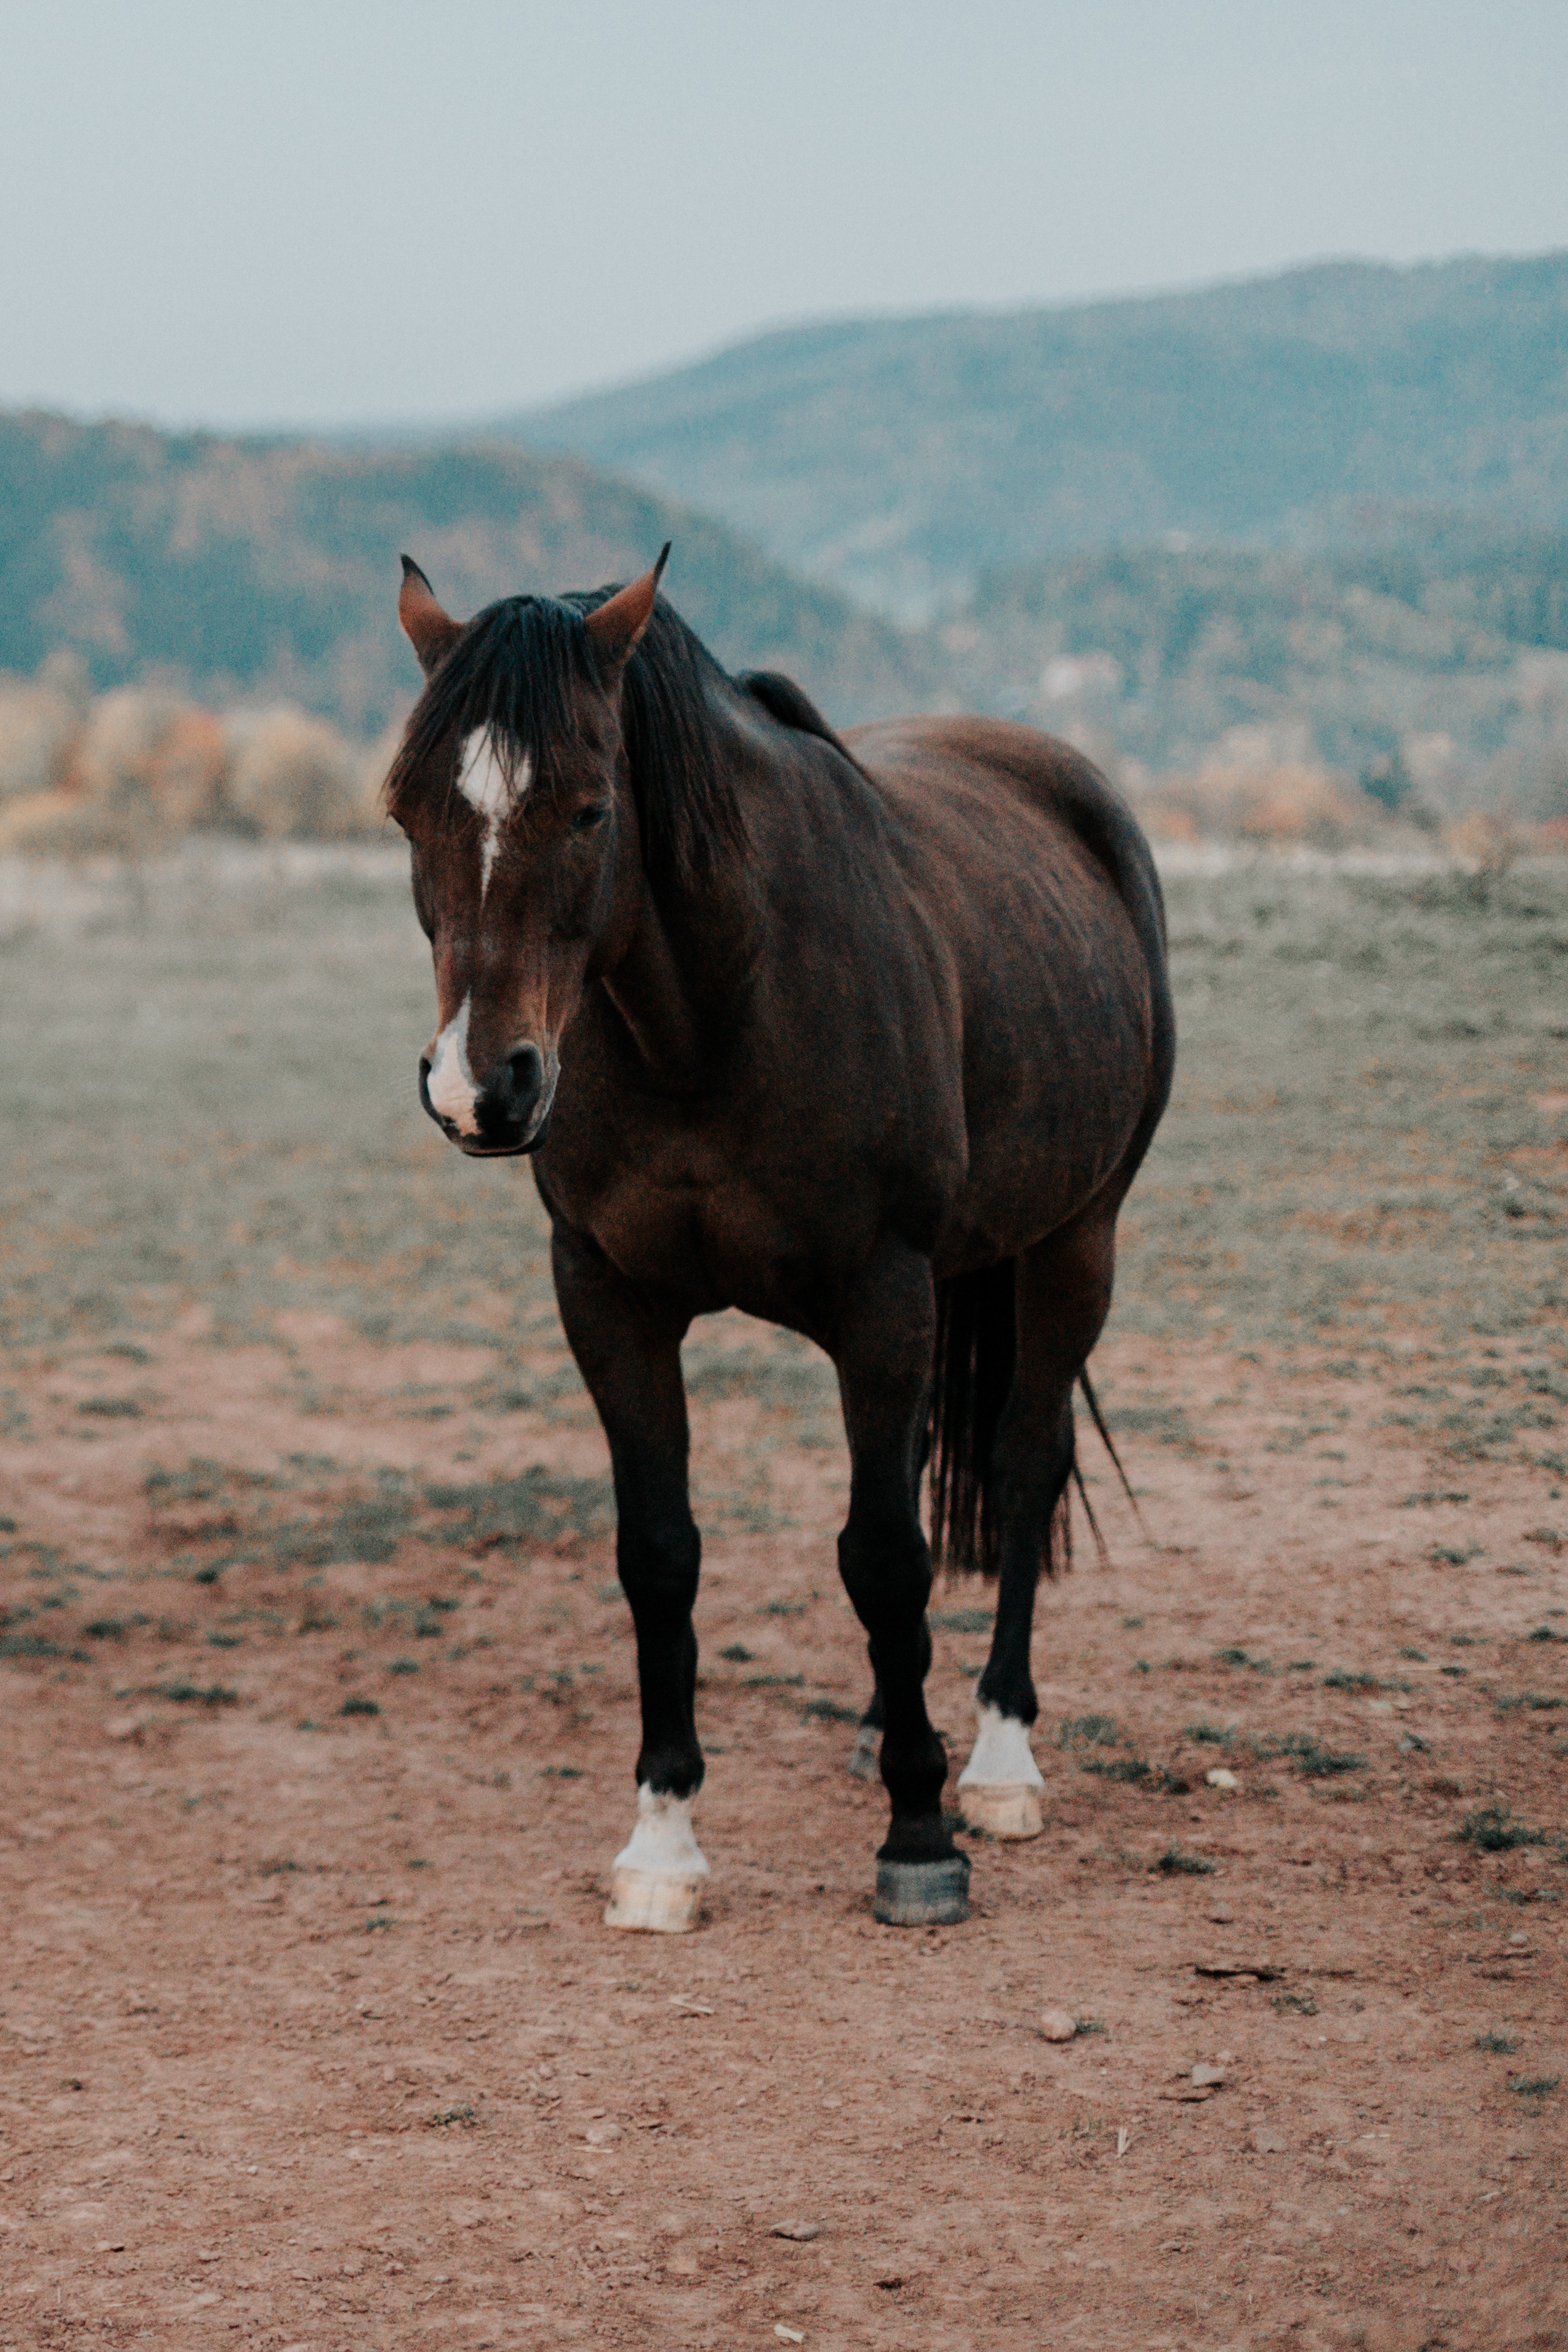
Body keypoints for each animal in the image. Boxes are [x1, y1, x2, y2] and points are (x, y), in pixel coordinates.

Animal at [390, 546, 1175, 1928]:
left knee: (1019, 1470)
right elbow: (662, 1554)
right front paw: (660, 1844)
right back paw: (882, 1726)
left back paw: (997, 1759)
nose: (482, 1088)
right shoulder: (607, 1297)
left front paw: (919, 1835)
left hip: (1075, 1244)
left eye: (589, 811)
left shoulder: (878, 1295)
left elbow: (885, 1556)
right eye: (407, 815)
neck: (715, 1018)